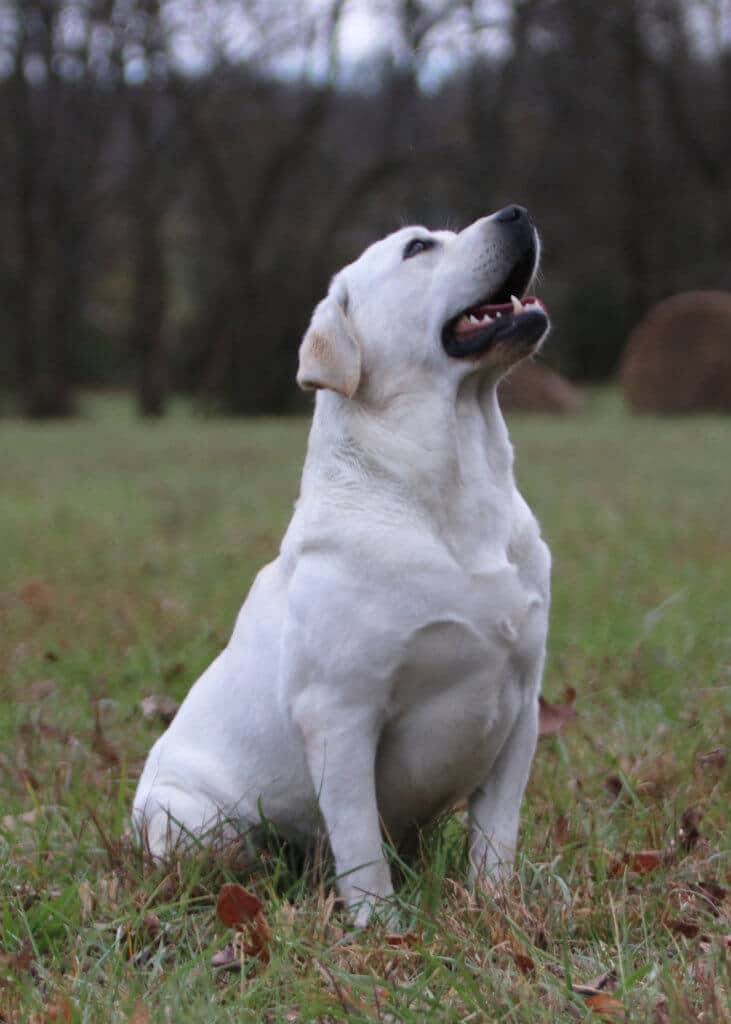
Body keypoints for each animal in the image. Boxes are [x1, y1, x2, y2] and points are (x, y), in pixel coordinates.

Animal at [134, 203, 548, 925]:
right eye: (418, 248)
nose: (516, 212)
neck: (457, 485)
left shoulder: (523, 703)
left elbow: (496, 834)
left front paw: (493, 910)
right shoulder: (341, 712)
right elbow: (359, 845)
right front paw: (382, 930)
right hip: (189, 816)